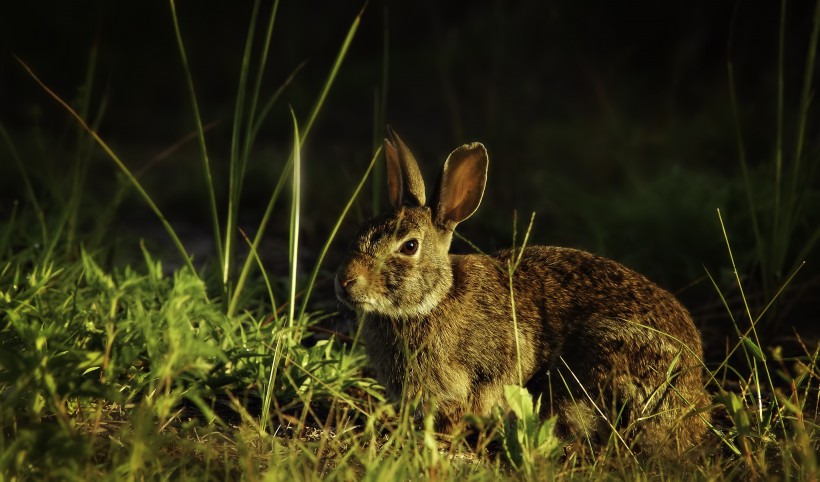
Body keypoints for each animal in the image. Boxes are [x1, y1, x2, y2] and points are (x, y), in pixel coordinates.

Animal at [334, 129, 712, 456]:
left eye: (409, 246)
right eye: (361, 230)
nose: (345, 279)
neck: (434, 300)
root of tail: (693, 390)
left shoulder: (498, 362)